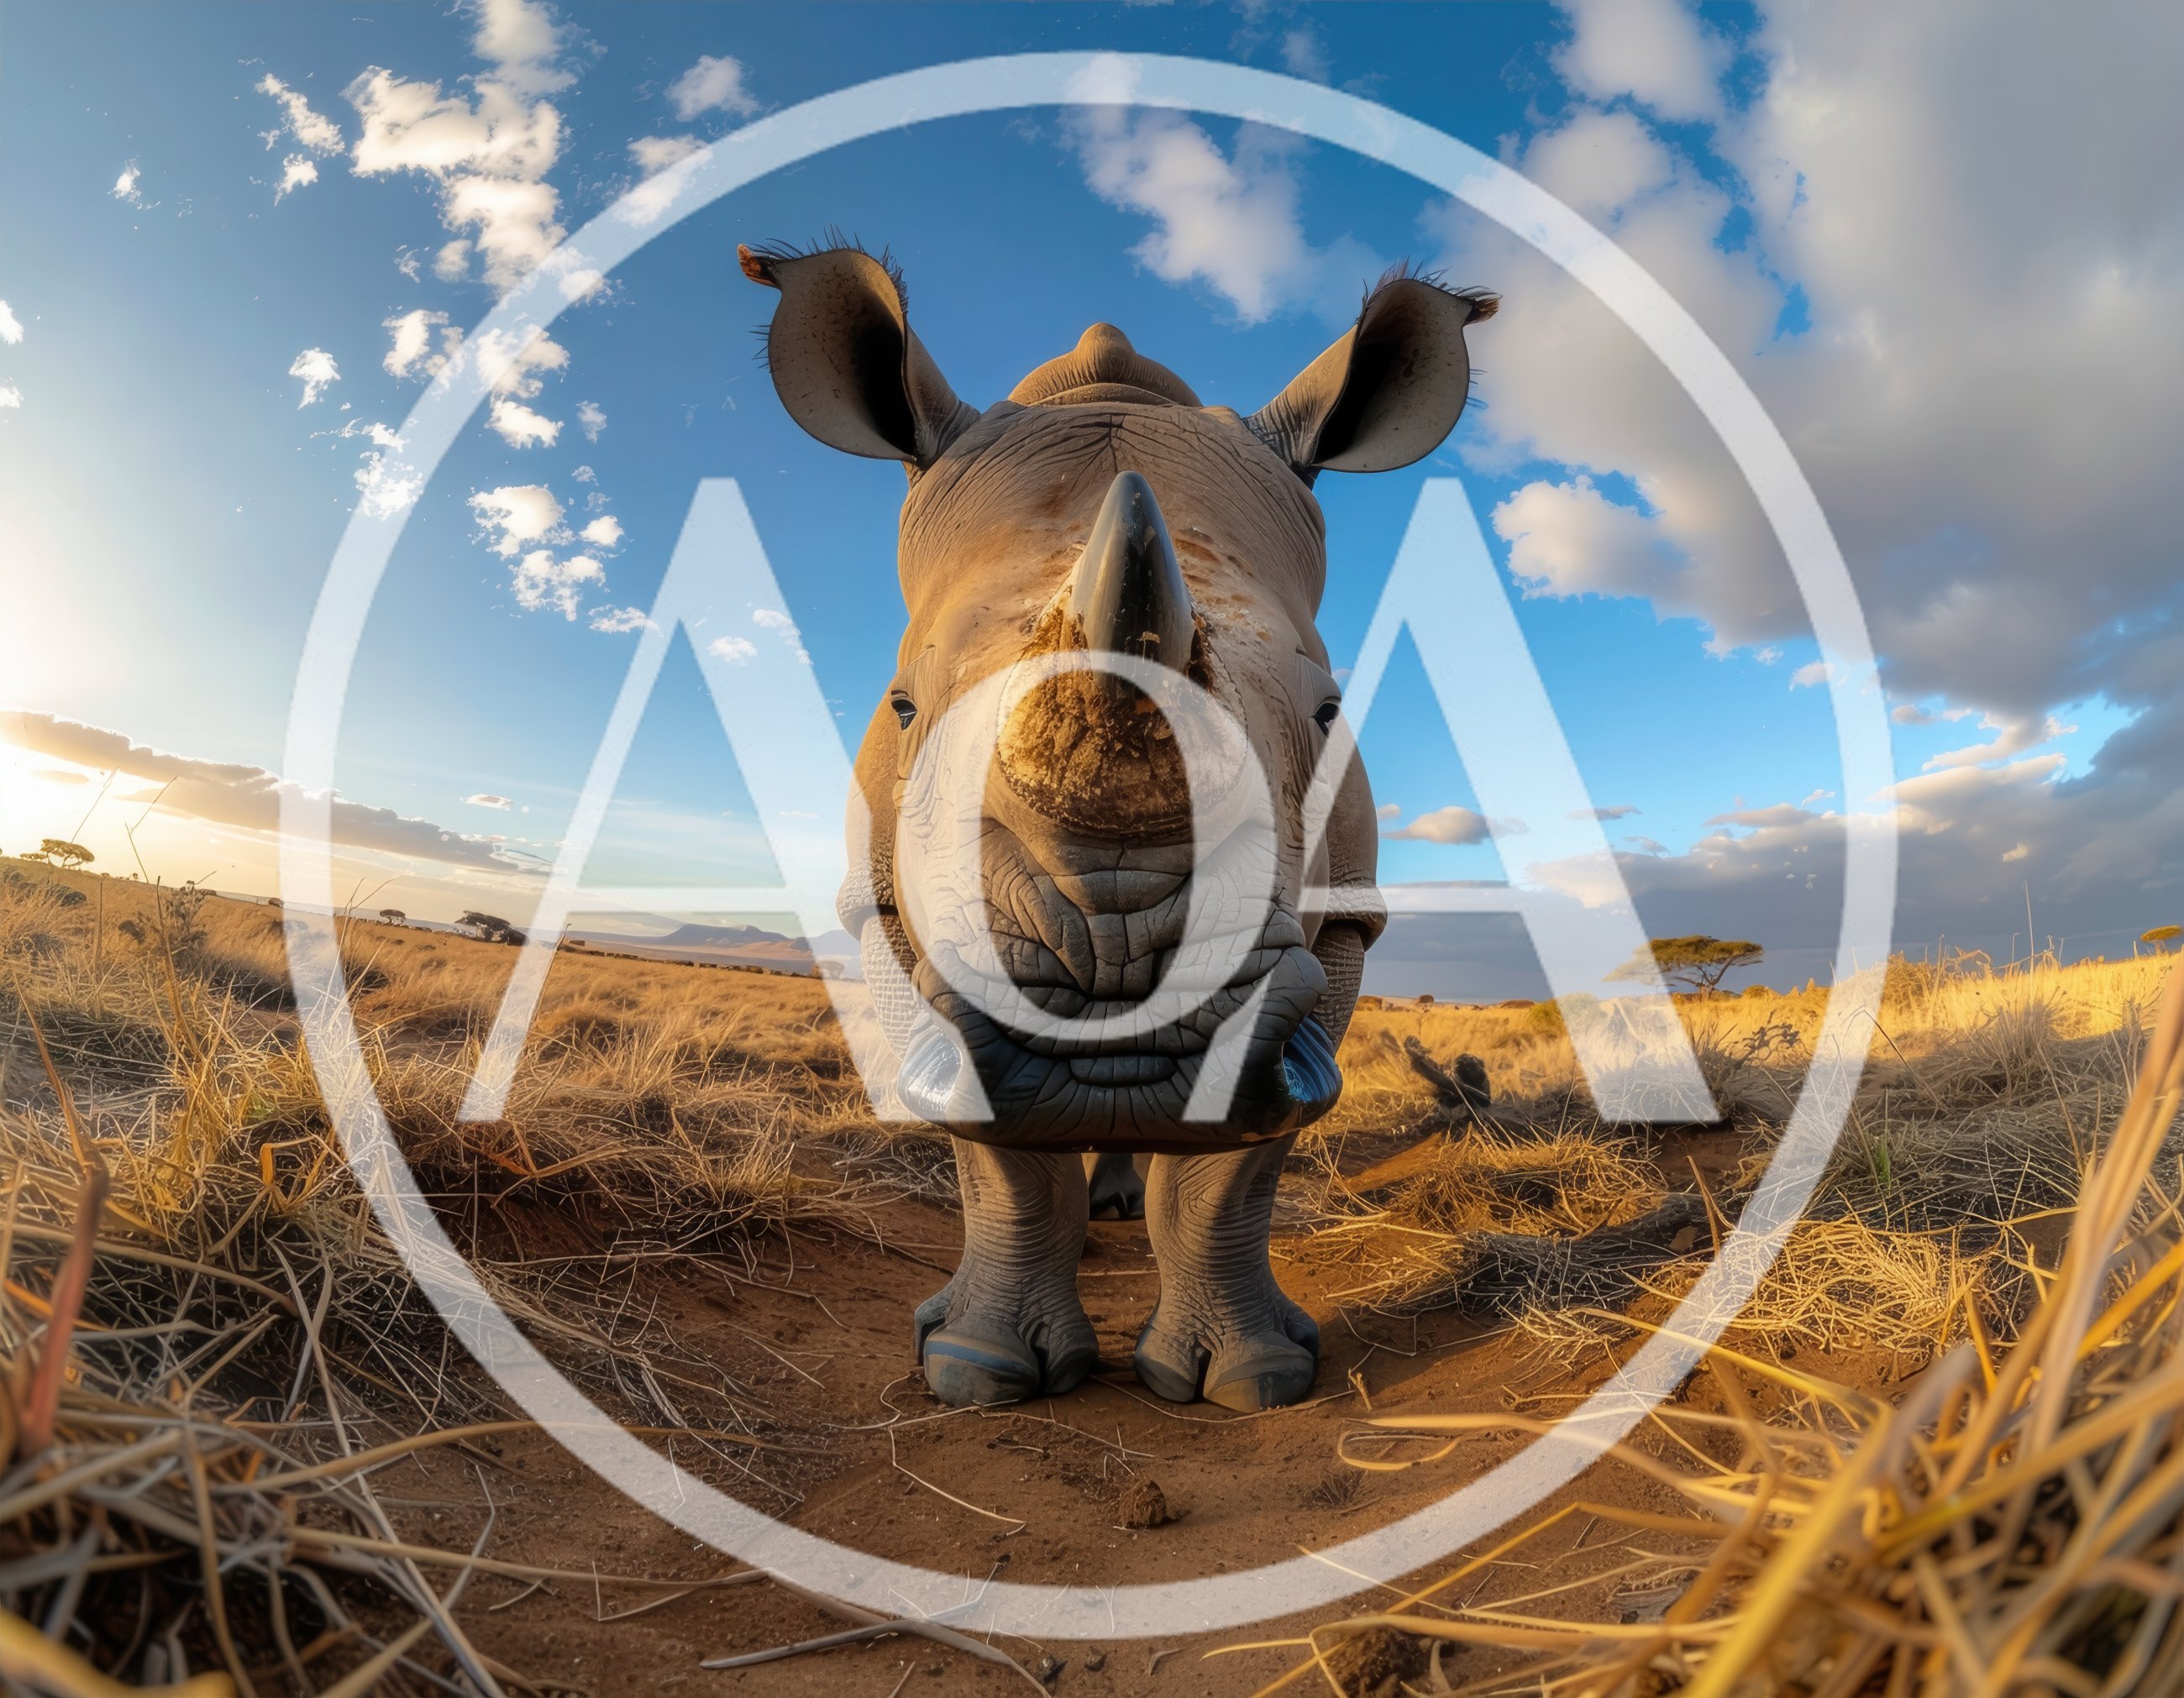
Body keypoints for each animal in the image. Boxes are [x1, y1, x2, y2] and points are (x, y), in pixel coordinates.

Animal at [742, 240, 1495, 1410]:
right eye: (903, 709)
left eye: (1329, 714)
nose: (1117, 1001)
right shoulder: (885, 910)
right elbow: (998, 1159)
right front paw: (974, 1368)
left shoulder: (1339, 921)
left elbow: (1236, 1167)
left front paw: (1255, 1375)